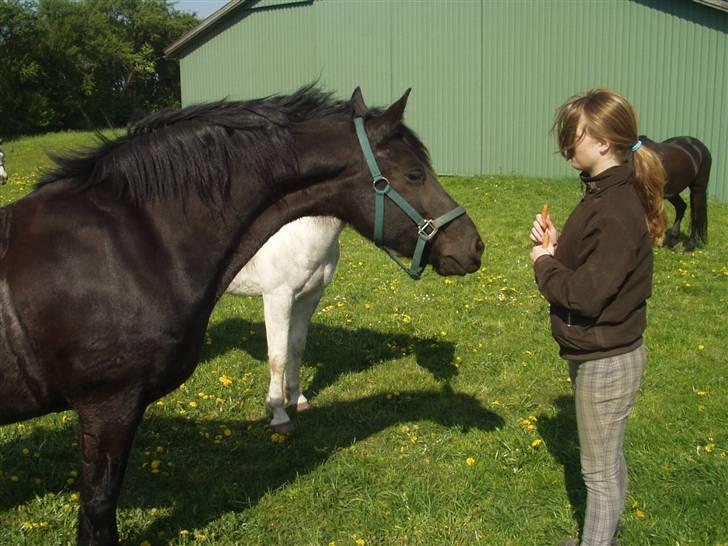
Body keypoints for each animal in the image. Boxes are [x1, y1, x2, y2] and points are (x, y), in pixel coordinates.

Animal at [226, 215, 342, 432]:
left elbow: (296, 348)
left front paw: (297, 399)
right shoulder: (278, 297)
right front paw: (279, 413)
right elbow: (278, 357)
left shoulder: (308, 298)